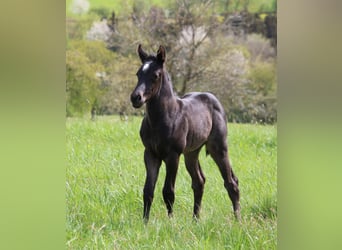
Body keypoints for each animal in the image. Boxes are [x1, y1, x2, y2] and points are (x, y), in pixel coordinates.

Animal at [131, 45, 240, 223]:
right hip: (191, 153)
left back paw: (238, 220)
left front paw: (171, 222)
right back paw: (195, 220)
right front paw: (145, 223)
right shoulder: (150, 154)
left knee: (231, 183)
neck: (163, 117)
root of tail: (213, 99)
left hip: (219, 149)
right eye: (138, 73)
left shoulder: (173, 155)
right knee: (199, 181)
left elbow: (168, 191)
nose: (135, 98)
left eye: (155, 75)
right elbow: (148, 190)